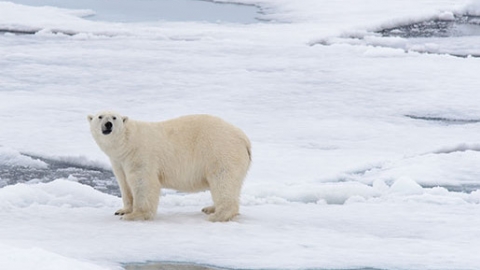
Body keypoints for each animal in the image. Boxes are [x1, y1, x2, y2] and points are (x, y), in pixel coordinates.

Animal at [88, 111, 251, 221]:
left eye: (114, 117)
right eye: (100, 116)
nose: (108, 124)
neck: (127, 143)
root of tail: (244, 138)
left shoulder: (141, 155)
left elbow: (144, 183)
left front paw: (135, 215)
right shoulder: (119, 161)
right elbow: (124, 183)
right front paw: (122, 210)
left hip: (220, 152)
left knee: (222, 180)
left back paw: (217, 215)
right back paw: (210, 208)